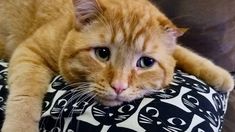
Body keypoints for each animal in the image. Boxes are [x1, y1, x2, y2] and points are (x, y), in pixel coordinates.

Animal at [0, 0, 233, 131]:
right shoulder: (29, 51)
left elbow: (183, 52)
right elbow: (25, 97)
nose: (119, 86)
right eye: (102, 53)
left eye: (146, 62)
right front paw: (18, 127)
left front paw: (221, 76)